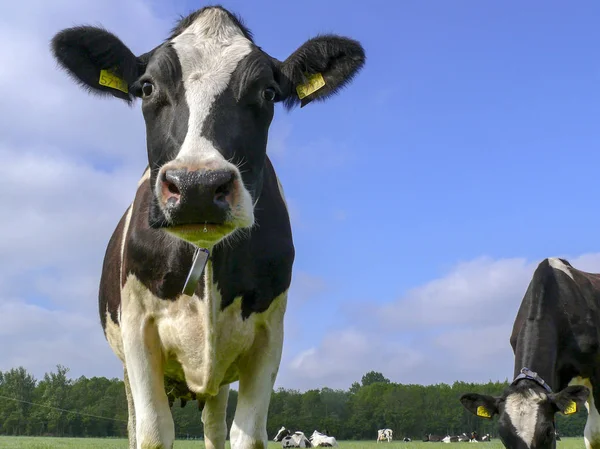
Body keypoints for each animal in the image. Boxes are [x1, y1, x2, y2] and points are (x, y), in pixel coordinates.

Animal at [49, 4, 366, 448]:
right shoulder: (137, 329)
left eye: (268, 92)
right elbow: (152, 432)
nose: (197, 186)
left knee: (214, 428)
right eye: (146, 88)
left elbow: (247, 434)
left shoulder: (269, 336)